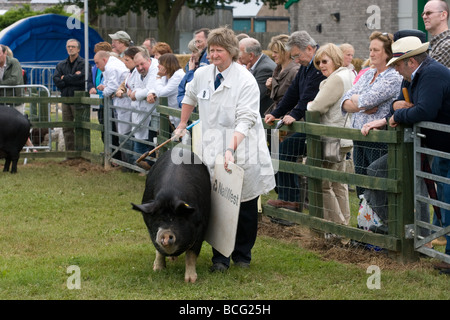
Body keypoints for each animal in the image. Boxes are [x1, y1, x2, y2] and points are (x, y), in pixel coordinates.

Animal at [132, 148, 211, 282]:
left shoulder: (202, 225)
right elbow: (158, 249)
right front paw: (158, 270)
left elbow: (192, 253)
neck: (170, 195)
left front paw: (190, 281)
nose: (165, 233)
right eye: (157, 219)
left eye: (179, 219)